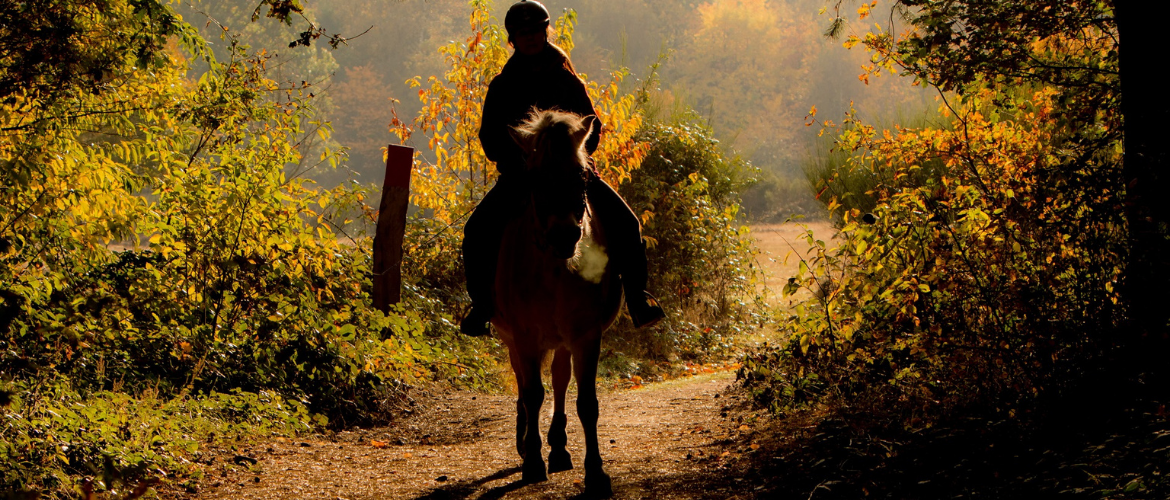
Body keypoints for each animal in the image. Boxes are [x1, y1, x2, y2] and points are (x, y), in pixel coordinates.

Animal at [491, 109, 627, 496]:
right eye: (536, 176)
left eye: (581, 174)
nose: (565, 235)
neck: (553, 268)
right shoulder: (524, 337)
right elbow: (533, 393)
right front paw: (533, 462)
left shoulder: (586, 335)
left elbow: (587, 402)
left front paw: (595, 472)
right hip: (514, 339)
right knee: (525, 383)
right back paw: (527, 442)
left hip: (564, 340)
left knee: (561, 379)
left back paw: (559, 448)